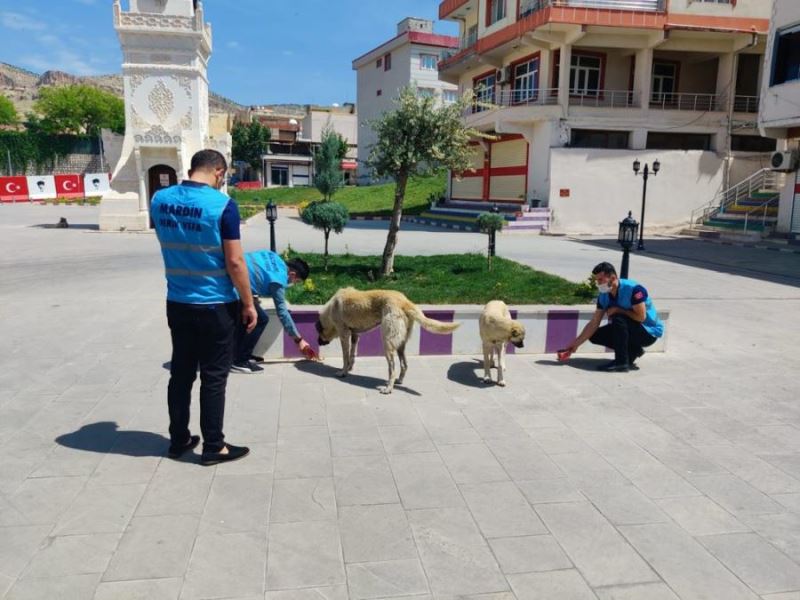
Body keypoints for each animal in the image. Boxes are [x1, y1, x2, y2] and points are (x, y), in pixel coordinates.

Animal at [316, 288, 460, 394]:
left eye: (318, 332)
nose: (318, 342)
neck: (331, 309)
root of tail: (405, 301)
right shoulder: (355, 335)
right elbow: (352, 354)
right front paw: (350, 368)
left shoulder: (344, 335)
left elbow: (345, 357)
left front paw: (343, 372)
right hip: (400, 344)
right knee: (404, 364)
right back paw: (398, 381)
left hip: (387, 343)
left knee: (392, 368)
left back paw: (389, 388)